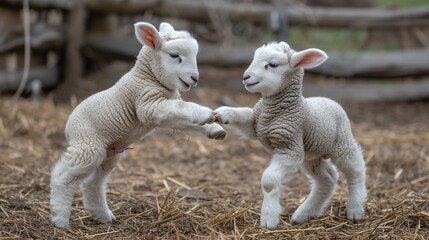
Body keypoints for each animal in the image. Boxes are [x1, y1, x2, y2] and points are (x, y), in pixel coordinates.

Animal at [49, 21, 227, 228]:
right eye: (175, 55)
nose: (195, 79)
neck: (148, 78)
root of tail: (68, 126)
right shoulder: (148, 105)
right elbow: (184, 107)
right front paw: (205, 113)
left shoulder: (163, 108)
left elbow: (184, 116)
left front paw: (215, 129)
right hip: (87, 146)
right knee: (62, 177)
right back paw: (60, 219)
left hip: (109, 153)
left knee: (92, 183)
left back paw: (102, 215)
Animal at [212, 41, 366, 229]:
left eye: (272, 65)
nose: (246, 77)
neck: (276, 111)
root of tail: (330, 100)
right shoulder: (256, 124)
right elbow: (244, 115)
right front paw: (223, 113)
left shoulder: (289, 148)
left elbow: (269, 182)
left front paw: (268, 219)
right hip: (311, 155)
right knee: (328, 178)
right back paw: (304, 214)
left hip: (342, 142)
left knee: (355, 169)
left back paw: (355, 209)